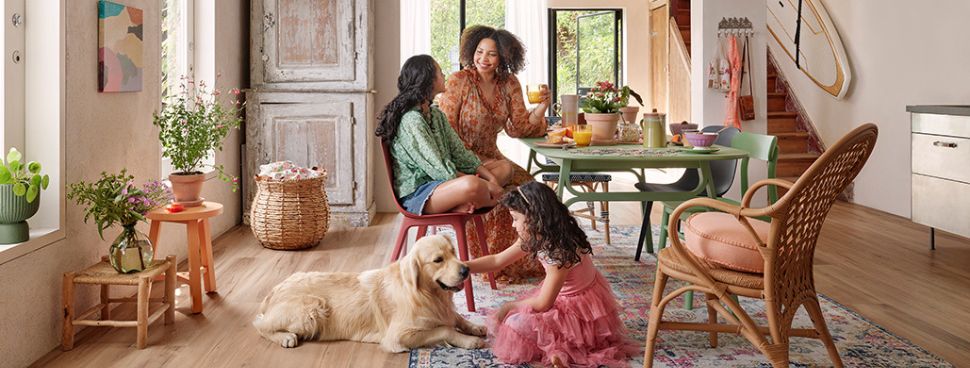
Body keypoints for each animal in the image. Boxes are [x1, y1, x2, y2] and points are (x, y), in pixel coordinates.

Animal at [253, 234, 488, 352]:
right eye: (438, 260)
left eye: (453, 252)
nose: (466, 270)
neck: (426, 294)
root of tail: (276, 287)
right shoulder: (398, 336)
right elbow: (444, 330)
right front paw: (469, 341)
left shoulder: (445, 310)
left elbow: (457, 317)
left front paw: (475, 327)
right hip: (314, 308)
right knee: (260, 325)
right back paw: (285, 337)